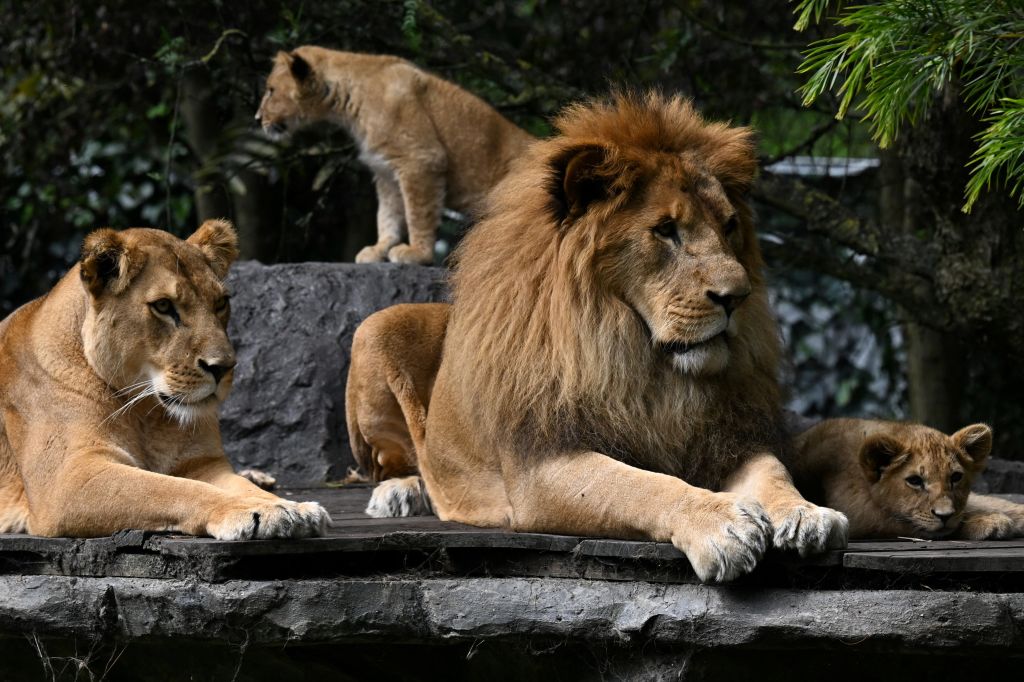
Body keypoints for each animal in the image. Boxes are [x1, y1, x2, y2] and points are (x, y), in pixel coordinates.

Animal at [0, 220, 330, 539]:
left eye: (220, 303)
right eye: (163, 306)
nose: (223, 367)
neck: (148, 415)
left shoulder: (203, 462)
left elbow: (233, 486)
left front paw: (291, 507)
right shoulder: (67, 479)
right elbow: (173, 489)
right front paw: (257, 510)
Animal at [255, 46, 535, 265]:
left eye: (270, 90)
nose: (257, 118)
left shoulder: (421, 159)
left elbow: (418, 213)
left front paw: (417, 253)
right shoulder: (385, 170)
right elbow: (387, 215)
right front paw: (378, 249)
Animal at [348, 92, 848, 582]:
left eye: (729, 225)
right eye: (666, 230)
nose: (737, 297)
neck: (644, 361)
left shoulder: (729, 435)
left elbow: (773, 473)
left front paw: (805, 513)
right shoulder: (540, 463)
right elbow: (639, 486)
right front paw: (722, 523)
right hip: (378, 327)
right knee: (392, 460)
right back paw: (402, 493)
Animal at [790, 418, 1024, 540]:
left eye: (956, 477)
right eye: (915, 481)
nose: (945, 515)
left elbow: (980, 504)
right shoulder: (858, 515)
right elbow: (929, 526)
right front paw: (989, 522)